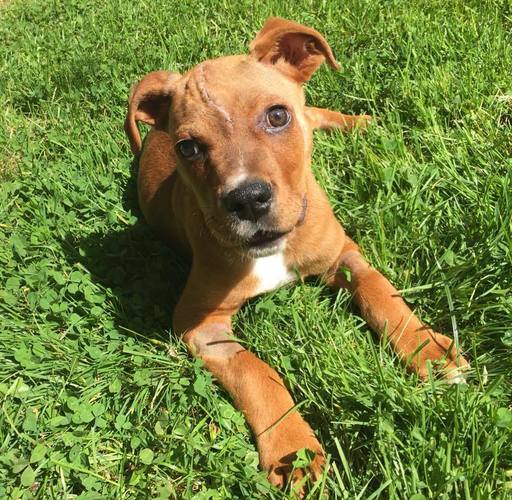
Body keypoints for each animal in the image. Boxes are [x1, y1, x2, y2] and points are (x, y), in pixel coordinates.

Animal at [124, 16, 468, 492]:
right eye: (187, 147)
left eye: (276, 116)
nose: (247, 200)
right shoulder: (199, 323)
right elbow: (257, 373)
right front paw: (294, 451)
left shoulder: (343, 254)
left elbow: (381, 292)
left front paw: (428, 351)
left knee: (317, 113)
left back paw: (361, 122)